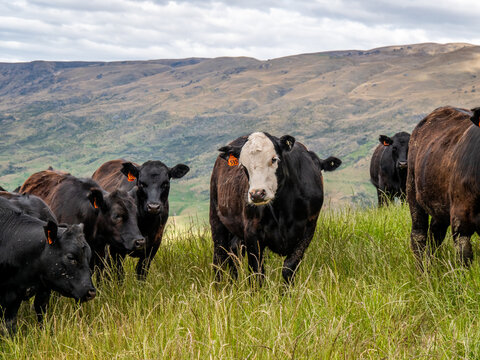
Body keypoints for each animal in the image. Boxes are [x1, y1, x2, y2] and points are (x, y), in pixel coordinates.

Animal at [210, 132, 342, 284]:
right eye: (243, 165)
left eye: (274, 159)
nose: (257, 194)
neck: (283, 209)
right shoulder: (251, 231)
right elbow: (256, 272)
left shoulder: (308, 228)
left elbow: (289, 267)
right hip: (216, 220)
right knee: (219, 258)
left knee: (233, 254)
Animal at [406, 105, 480, 266]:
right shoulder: (460, 221)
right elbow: (464, 258)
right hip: (412, 191)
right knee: (418, 235)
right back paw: (422, 270)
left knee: (435, 234)